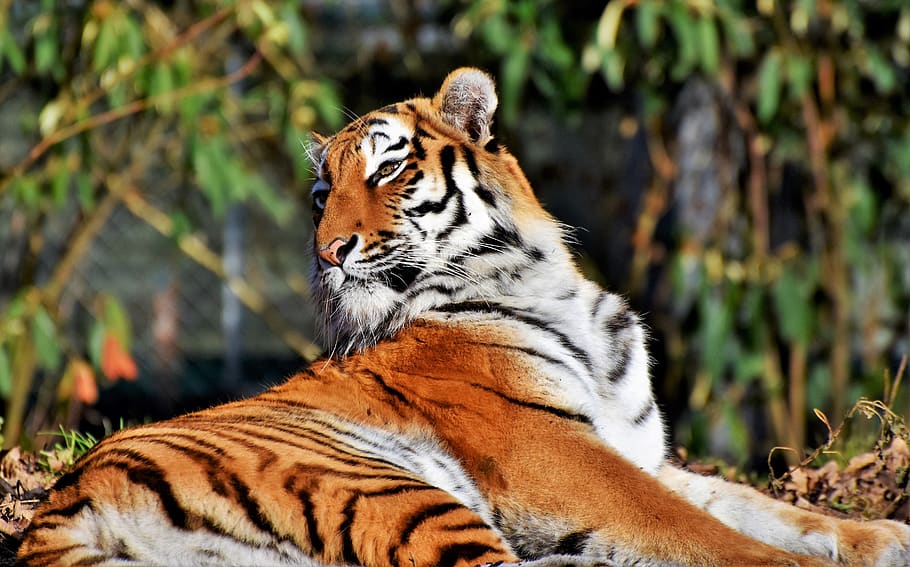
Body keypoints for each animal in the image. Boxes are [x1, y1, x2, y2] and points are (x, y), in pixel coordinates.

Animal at [16, 67, 910, 567]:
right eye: (321, 194)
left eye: (384, 170)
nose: (327, 250)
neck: (553, 284)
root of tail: (55, 512)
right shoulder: (557, 453)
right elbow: (713, 535)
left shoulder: (636, 451)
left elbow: (769, 509)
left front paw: (885, 539)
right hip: (378, 481)